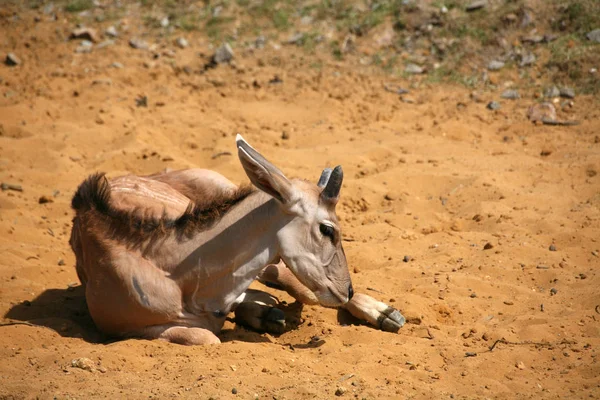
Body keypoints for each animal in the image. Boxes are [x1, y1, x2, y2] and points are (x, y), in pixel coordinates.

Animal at [70, 135, 406, 344]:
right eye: (327, 229)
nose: (345, 290)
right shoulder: (119, 327)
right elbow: (208, 336)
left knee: (298, 288)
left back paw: (384, 314)